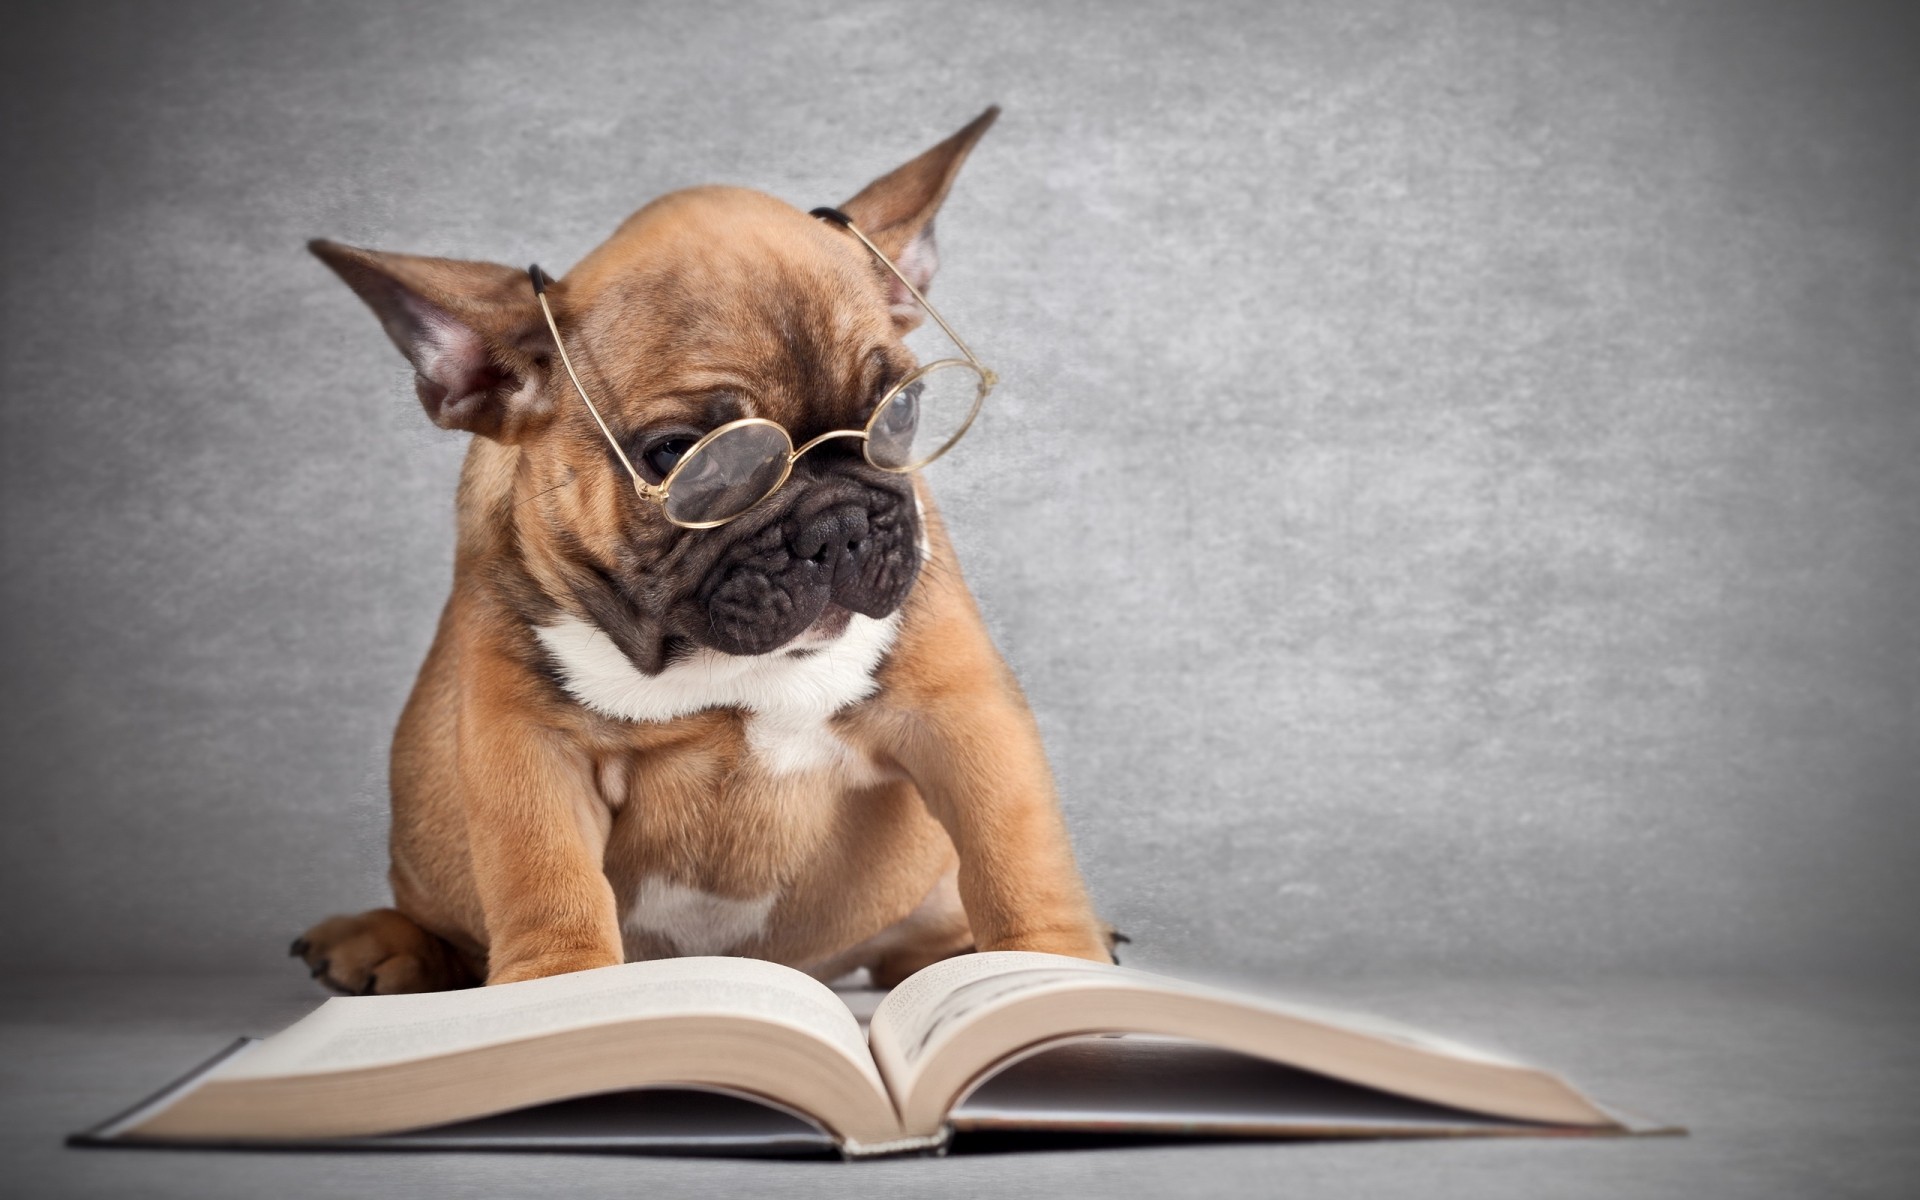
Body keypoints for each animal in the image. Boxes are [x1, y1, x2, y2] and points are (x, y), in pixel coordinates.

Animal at [293, 107, 1121, 990]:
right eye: (680, 457)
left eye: (903, 411)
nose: (836, 522)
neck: (719, 666)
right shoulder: (530, 748)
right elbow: (545, 878)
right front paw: (559, 990)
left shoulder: (960, 711)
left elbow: (1017, 850)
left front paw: (1050, 974)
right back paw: (382, 943)